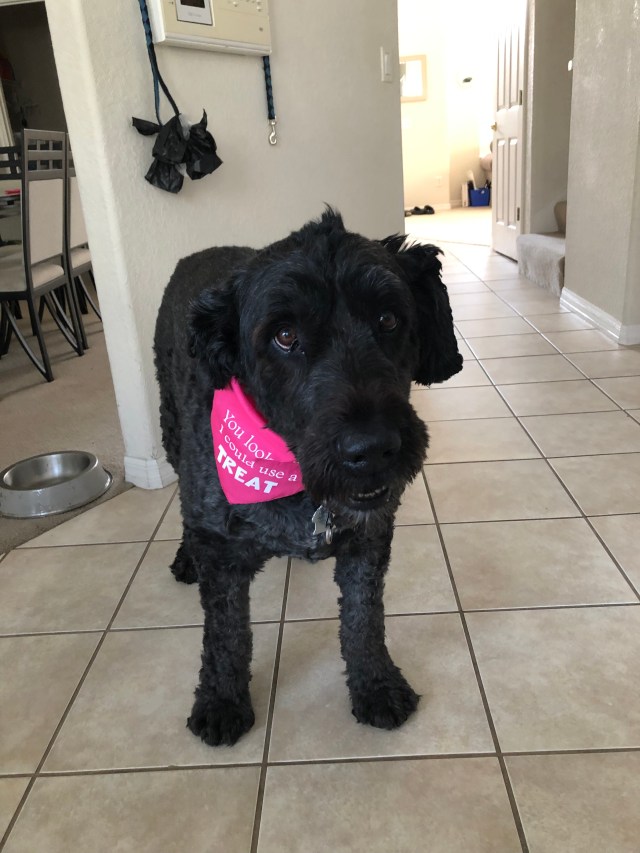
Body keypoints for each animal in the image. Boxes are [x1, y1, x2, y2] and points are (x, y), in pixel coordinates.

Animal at [153, 209, 462, 746]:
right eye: (284, 336)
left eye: (388, 319)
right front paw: (221, 700)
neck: (294, 473)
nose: (371, 449)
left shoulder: (368, 540)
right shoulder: (220, 549)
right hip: (172, 431)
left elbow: (363, 618)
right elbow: (226, 633)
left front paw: (375, 684)